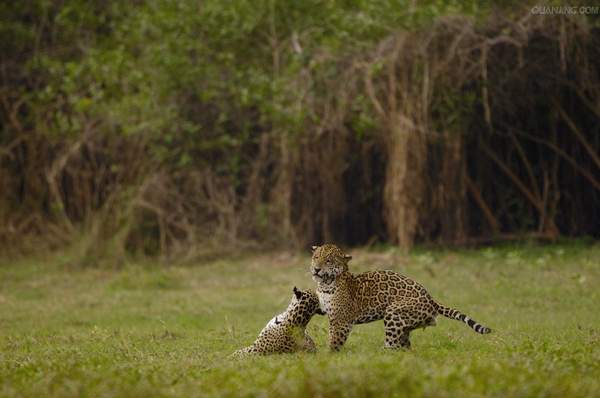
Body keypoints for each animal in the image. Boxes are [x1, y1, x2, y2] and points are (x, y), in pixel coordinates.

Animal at [310, 243, 492, 352]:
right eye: (316, 257)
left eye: (329, 260)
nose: (316, 269)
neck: (325, 284)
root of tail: (431, 299)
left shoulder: (341, 320)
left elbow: (335, 340)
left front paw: (329, 354)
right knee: (404, 346)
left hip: (394, 312)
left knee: (392, 345)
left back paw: (379, 354)